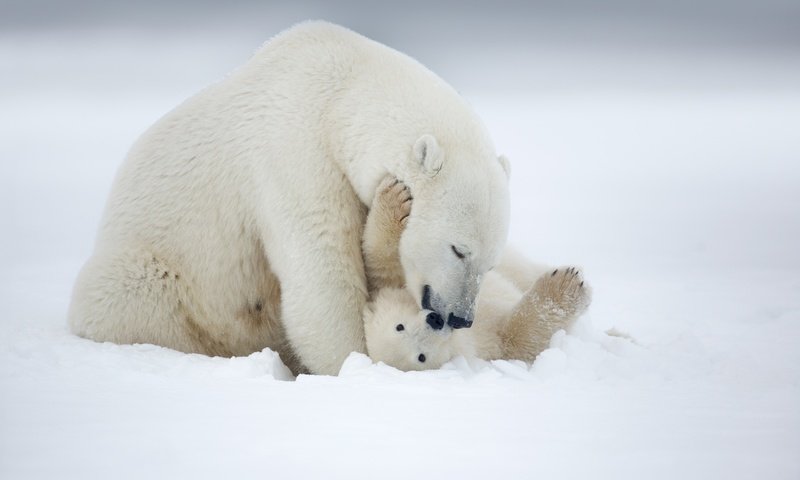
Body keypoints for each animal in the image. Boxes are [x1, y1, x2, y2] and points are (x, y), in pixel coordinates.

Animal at [67, 21, 506, 376]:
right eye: (458, 249)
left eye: (489, 262)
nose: (461, 317)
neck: (341, 93)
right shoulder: (295, 154)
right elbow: (322, 272)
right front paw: (355, 363)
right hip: (155, 273)